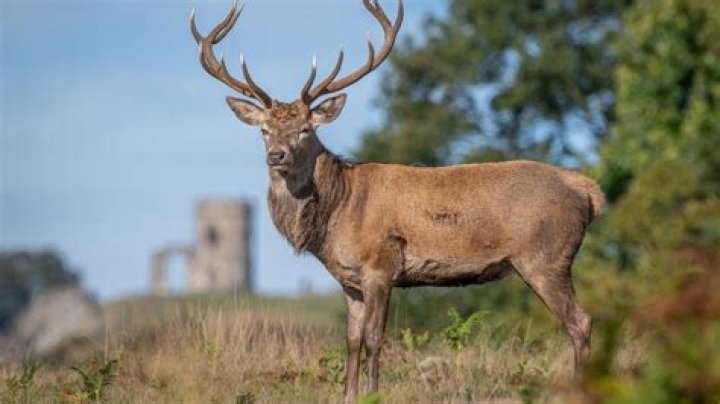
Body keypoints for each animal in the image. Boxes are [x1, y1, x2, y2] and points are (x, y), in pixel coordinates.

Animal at [191, 1, 605, 402]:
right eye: (264, 130)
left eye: (305, 129)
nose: (276, 155)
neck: (336, 214)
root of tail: (587, 189)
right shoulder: (349, 280)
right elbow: (351, 341)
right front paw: (350, 396)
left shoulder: (381, 265)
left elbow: (375, 338)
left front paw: (374, 392)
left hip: (546, 257)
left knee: (581, 321)